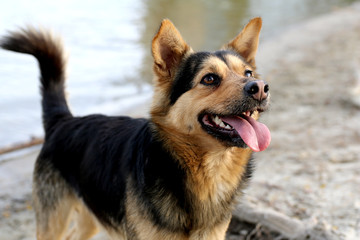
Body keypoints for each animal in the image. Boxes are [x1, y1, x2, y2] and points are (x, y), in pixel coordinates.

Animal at [0, 17, 270, 240]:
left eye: (248, 73)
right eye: (210, 79)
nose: (260, 87)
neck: (207, 172)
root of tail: (63, 120)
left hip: (91, 217)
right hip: (53, 221)